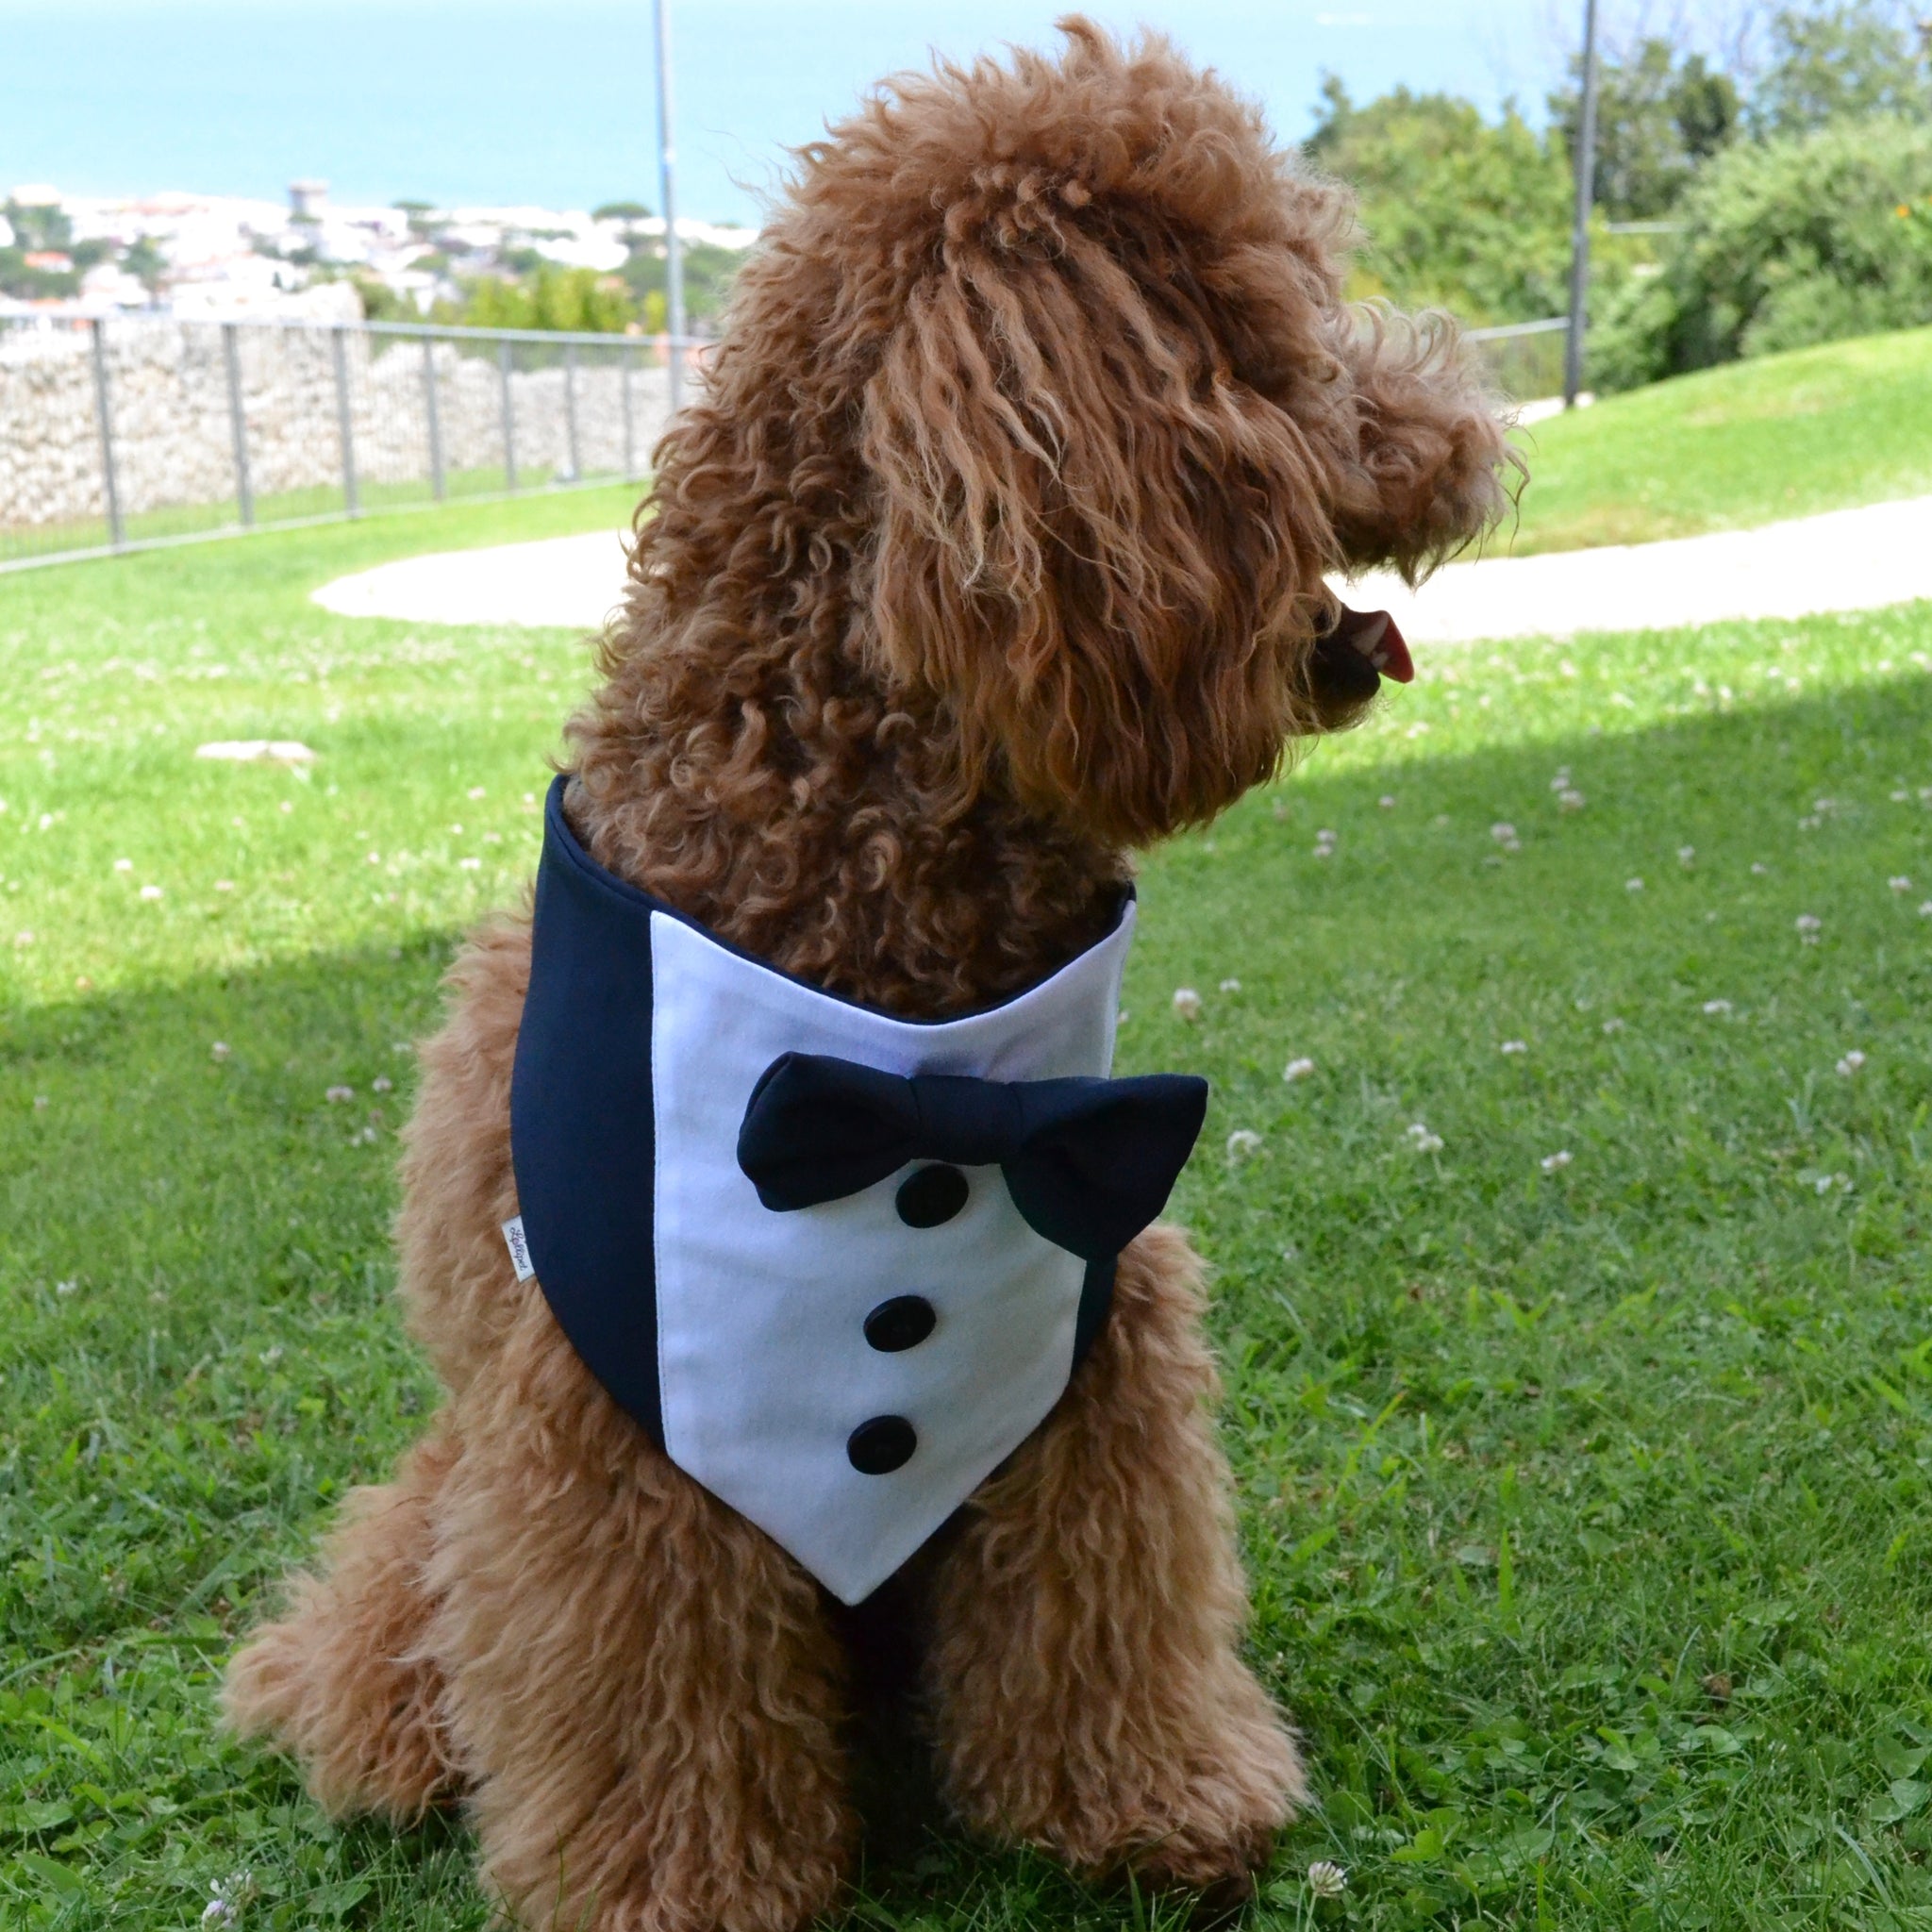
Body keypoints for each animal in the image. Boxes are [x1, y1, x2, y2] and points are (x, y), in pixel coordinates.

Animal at [225, 18, 1514, 1932]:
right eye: (1278, 328)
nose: (1477, 444)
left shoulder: (1098, 1342)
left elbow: (1102, 1606)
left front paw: (1150, 1799)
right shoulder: (602, 1440)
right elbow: (654, 1689)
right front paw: (675, 1889)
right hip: (449, 1493)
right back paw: (368, 1733)